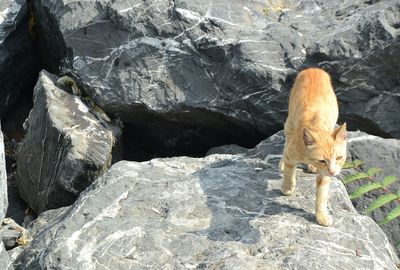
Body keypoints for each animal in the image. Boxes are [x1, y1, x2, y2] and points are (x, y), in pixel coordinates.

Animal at [278, 67, 346, 226]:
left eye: (339, 158)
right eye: (322, 160)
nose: (333, 172)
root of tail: (314, 68)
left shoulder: (325, 175)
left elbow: (322, 194)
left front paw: (321, 215)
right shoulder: (292, 154)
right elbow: (289, 172)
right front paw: (287, 187)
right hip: (289, 123)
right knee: (286, 141)